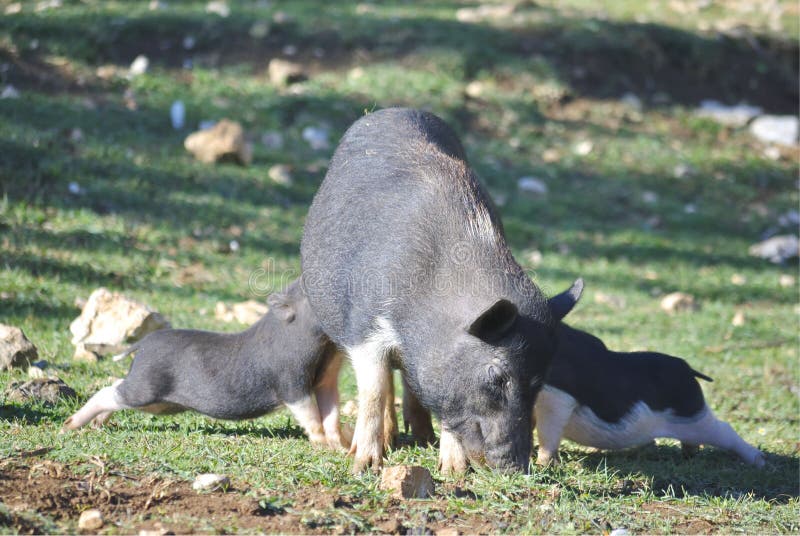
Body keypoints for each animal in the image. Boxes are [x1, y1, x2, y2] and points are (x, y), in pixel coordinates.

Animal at [62, 280, 350, 450]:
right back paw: (70, 425)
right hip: (146, 387)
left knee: (115, 388)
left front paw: (341, 446)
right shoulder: (289, 379)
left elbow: (331, 409)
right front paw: (322, 444)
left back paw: (99, 424)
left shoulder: (323, 379)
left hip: (157, 401)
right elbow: (308, 412)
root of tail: (142, 344)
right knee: (108, 391)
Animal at [300, 107, 581, 473]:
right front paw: (364, 466)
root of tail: (393, 110)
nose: (516, 467)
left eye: (539, 381)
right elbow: (373, 392)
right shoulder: (363, 328)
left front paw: (452, 471)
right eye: (496, 375)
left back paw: (422, 437)